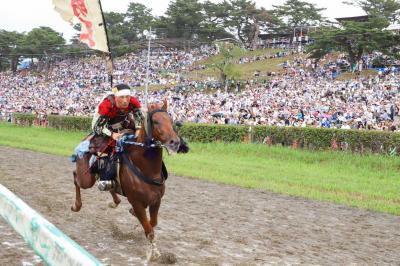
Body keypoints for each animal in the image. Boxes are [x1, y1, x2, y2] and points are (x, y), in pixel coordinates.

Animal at [71, 99, 180, 260]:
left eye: (171, 120)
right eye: (155, 121)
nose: (175, 142)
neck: (146, 168)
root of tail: (88, 138)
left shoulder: (156, 200)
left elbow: (152, 223)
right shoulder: (136, 202)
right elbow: (149, 231)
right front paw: (152, 254)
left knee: (107, 185)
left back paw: (114, 201)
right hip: (86, 179)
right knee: (75, 177)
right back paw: (76, 205)